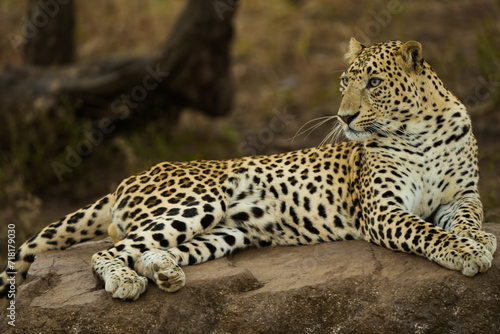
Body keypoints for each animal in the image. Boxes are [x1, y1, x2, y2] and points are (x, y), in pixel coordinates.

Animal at [0, 37, 496, 306]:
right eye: (344, 82)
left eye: (374, 83)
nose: (345, 117)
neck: (420, 129)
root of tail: (131, 177)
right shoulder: (383, 210)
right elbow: (425, 231)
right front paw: (466, 253)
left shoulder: (463, 195)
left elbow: (468, 218)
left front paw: (479, 240)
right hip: (197, 201)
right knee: (109, 251)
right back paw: (125, 282)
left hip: (229, 232)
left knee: (146, 250)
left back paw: (165, 273)